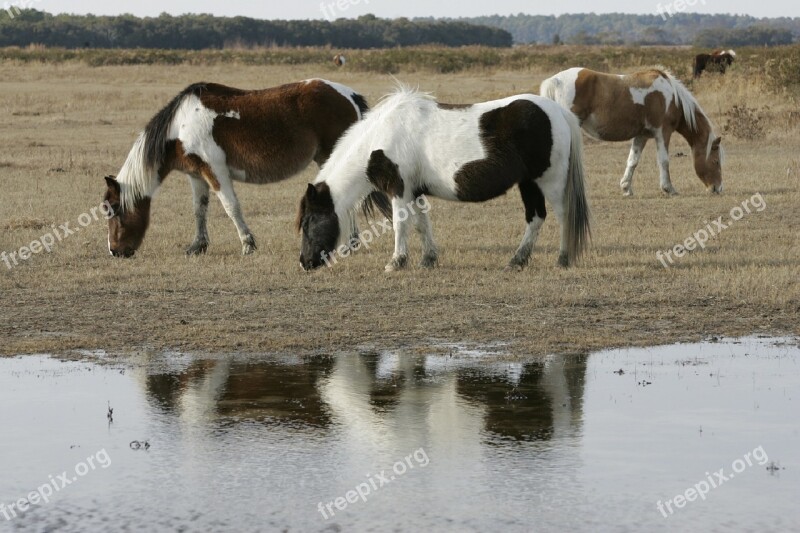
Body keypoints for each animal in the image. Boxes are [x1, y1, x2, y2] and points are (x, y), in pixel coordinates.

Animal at [101, 78, 372, 258]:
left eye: (114, 210)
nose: (115, 251)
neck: (180, 126)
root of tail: (349, 95)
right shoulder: (196, 175)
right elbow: (199, 210)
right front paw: (197, 246)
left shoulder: (215, 171)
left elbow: (231, 207)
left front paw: (247, 244)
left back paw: (349, 244)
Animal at [296, 87, 592, 272]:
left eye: (309, 222)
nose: (304, 262)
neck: (381, 136)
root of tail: (558, 112)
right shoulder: (414, 192)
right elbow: (420, 224)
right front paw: (428, 259)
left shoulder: (399, 190)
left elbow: (400, 225)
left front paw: (396, 262)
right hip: (529, 183)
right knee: (536, 217)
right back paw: (517, 261)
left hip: (549, 181)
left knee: (563, 216)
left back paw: (563, 259)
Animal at [540, 66, 720, 195]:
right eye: (716, 161)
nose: (717, 188)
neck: (672, 98)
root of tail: (555, 80)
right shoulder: (663, 132)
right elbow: (664, 161)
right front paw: (669, 188)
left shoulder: (642, 135)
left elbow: (632, 161)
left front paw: (626, 188)